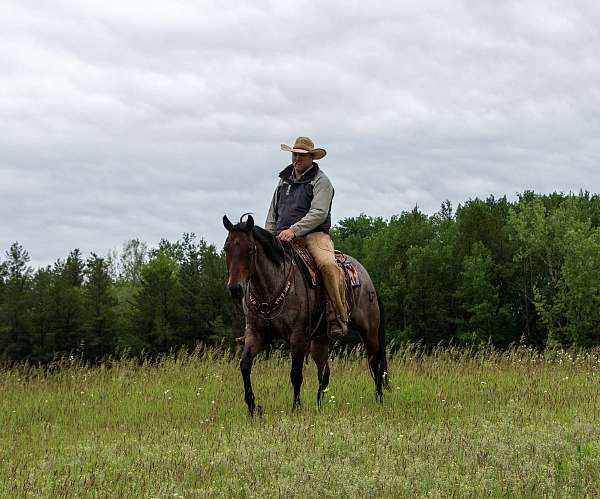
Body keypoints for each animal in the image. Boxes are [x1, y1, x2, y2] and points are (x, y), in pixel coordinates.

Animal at [223, 213, 386, 416]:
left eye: (250, 249)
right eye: (226, 248)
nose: (235, 288)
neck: (270, 287)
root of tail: (367, 278)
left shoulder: (298, 337)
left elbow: (295, 373)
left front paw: (296, 407)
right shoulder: (255, 334)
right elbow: (245, 366)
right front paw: (253, 407)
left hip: (369, 331)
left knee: (375, 363)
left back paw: (379, 400)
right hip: (320, 339)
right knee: (324, 372)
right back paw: (319, 406)